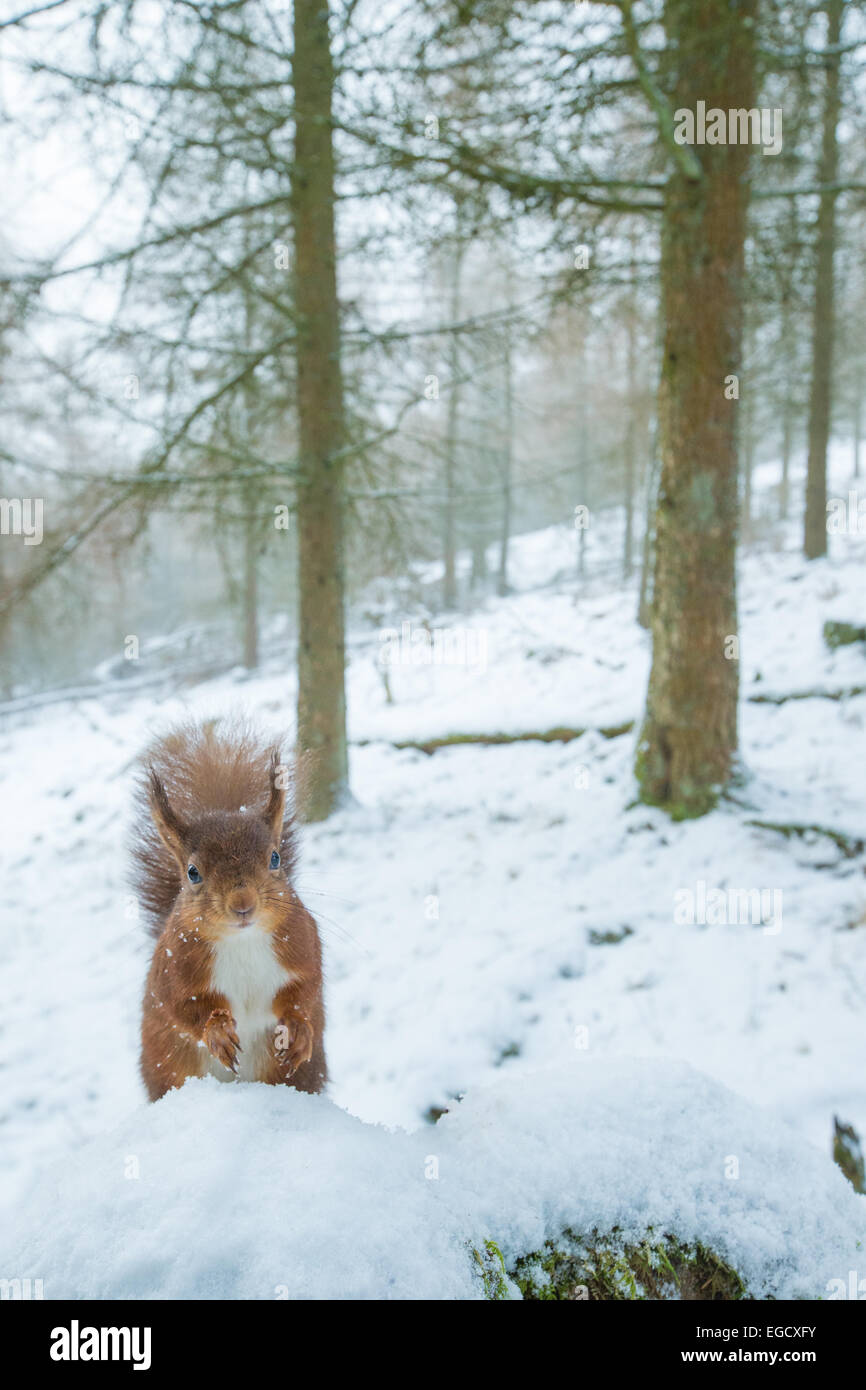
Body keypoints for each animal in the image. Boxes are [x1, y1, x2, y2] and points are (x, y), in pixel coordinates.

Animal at [134, 722, 326, 1100]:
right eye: (192, 872)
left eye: (275, 857)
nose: (242, 904)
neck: (243, 941)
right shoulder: (173, 972)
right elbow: (183, 1009)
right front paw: (218, 1031)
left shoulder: (303, 945)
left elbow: (306, 989)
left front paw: (298, 1031)